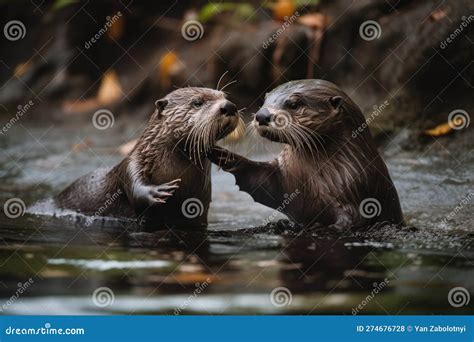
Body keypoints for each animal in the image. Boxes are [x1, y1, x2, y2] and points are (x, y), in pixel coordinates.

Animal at [56, 87, 241, 227]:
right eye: (197, 103)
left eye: (224, 96)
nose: (229, 106)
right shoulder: (131, 164)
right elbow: (135, 187)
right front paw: (158, 191)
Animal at [210, 79, 404, 230]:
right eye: (264, 101)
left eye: (294, 104)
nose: (262, 115)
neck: (312, 177)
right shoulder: (284, 177)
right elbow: (259, 179)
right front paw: (218, 153)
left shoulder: (357, 189)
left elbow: (352, 220)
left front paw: (316, 227)